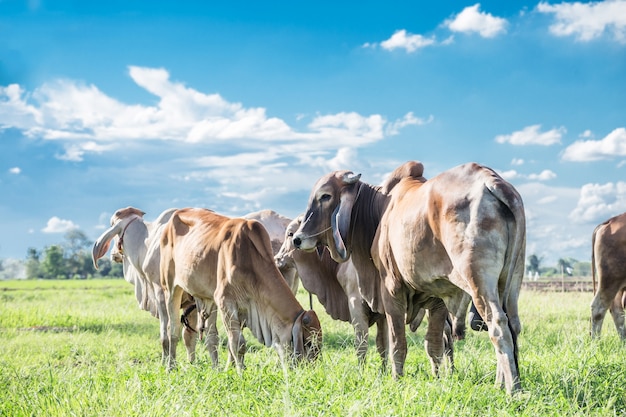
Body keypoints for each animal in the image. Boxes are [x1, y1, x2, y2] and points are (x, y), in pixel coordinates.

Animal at [158, 206, 322, 368]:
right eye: (308, 343)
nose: (310, 370)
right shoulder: (226, 302)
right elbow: (238, 344)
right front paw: (241, 372)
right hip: (170, 288)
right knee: (172, 331)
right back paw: (170, 367)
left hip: (208, 298)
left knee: (211, 337)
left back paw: (215, 369)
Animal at [292, 160, 520, 394]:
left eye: (325, 196)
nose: (297, 239)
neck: (380, 210)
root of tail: (490, 180)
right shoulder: (437, 300)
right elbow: (433, 345)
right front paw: (437, 378)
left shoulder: (391, 291)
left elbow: (397, 344)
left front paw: (397, 379)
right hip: (509, 282)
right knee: (513, 325)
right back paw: (500, 384)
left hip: (478, 281)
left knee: (498, 325)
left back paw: (512, 390)